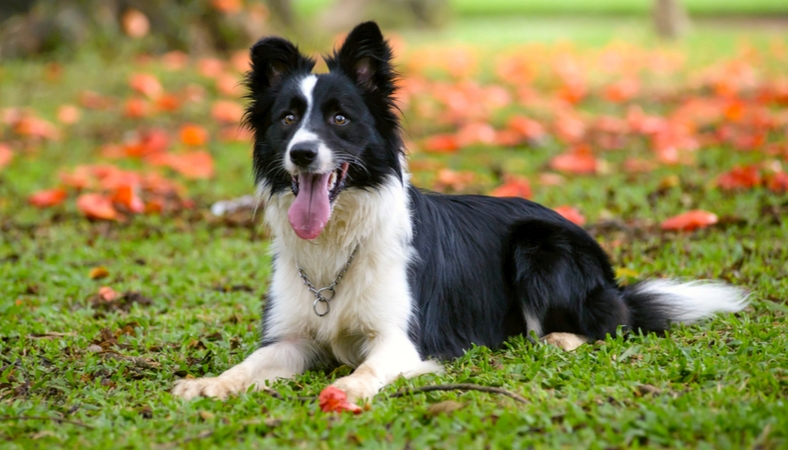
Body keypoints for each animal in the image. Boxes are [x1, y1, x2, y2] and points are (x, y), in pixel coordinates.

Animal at [172, 21, 744, 402]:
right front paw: (208, 383)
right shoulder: (292, 337)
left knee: (610, 323)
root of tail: (609, 274)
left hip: (540, 247)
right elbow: (250, 363)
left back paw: (558, 338)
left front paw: (347, 390)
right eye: (288, 119)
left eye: (339, 118)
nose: (303, 154)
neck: (339, 241)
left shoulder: (402, 340)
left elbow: (366, 371)